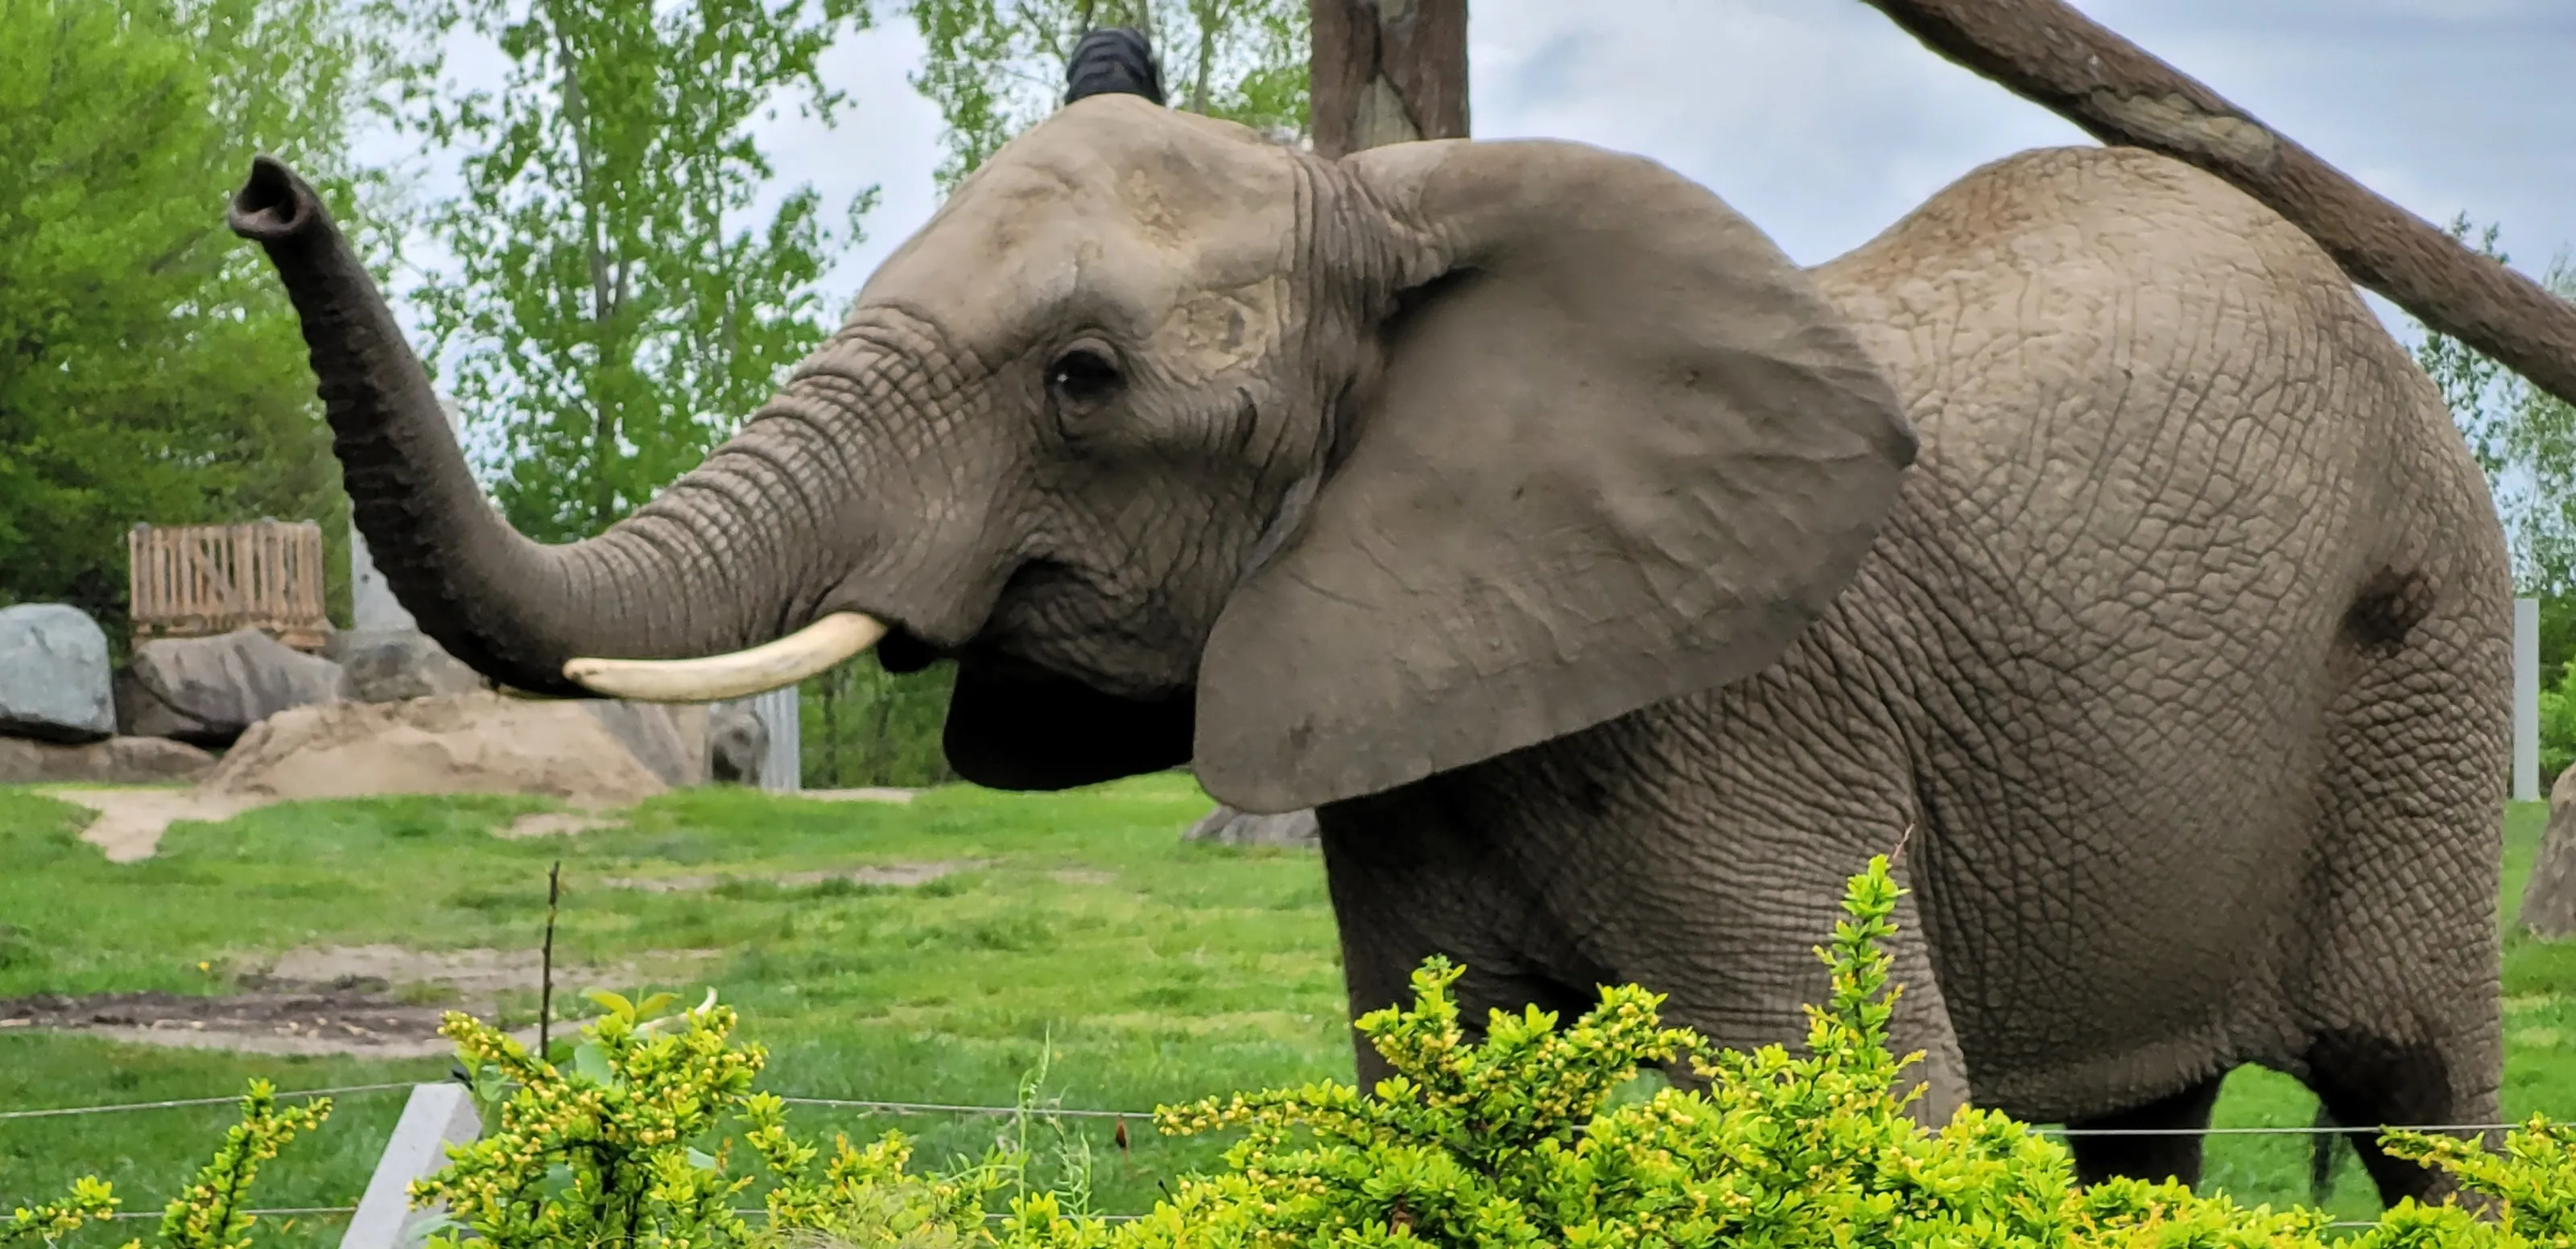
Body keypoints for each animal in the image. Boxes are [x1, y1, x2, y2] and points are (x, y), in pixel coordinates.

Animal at [224, 29, 2514, 1209]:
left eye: (1082, 383)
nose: (262, 185)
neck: (1404, 225)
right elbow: (1435, 1098)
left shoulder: (1765, 712)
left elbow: (1868, 1096)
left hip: (2431, 662)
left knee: (2417, 1098)